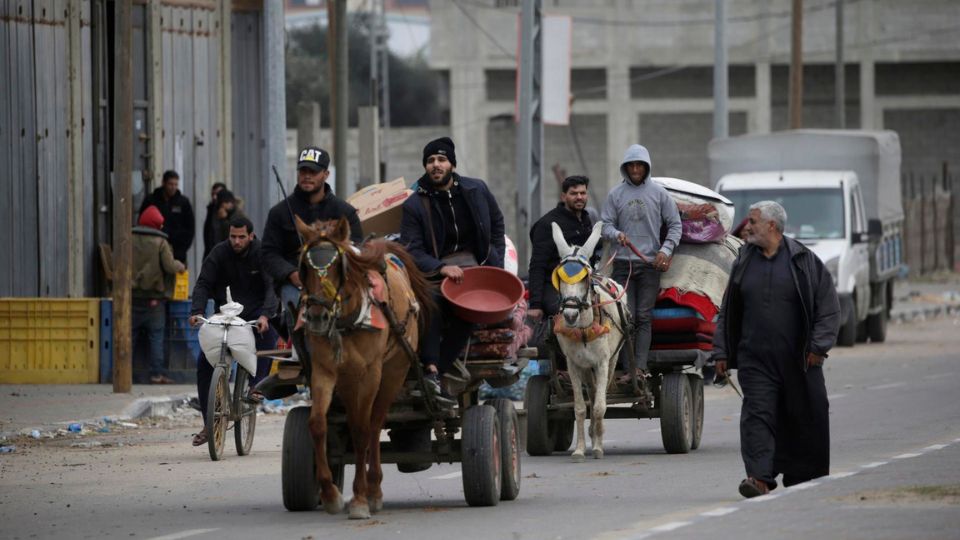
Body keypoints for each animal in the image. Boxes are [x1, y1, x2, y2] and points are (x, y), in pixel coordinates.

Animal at [288, 215, 432, 520]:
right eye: (305, 268)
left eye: (337, 268)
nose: (316, 317)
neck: (347, 318)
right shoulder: (325, 370)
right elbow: (317, 424)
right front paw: (330, 493)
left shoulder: (371, 373)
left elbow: (364, 429)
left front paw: (359, 499)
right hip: (348, 379)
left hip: (393, 372)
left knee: (374, 424)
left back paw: (374, 489)